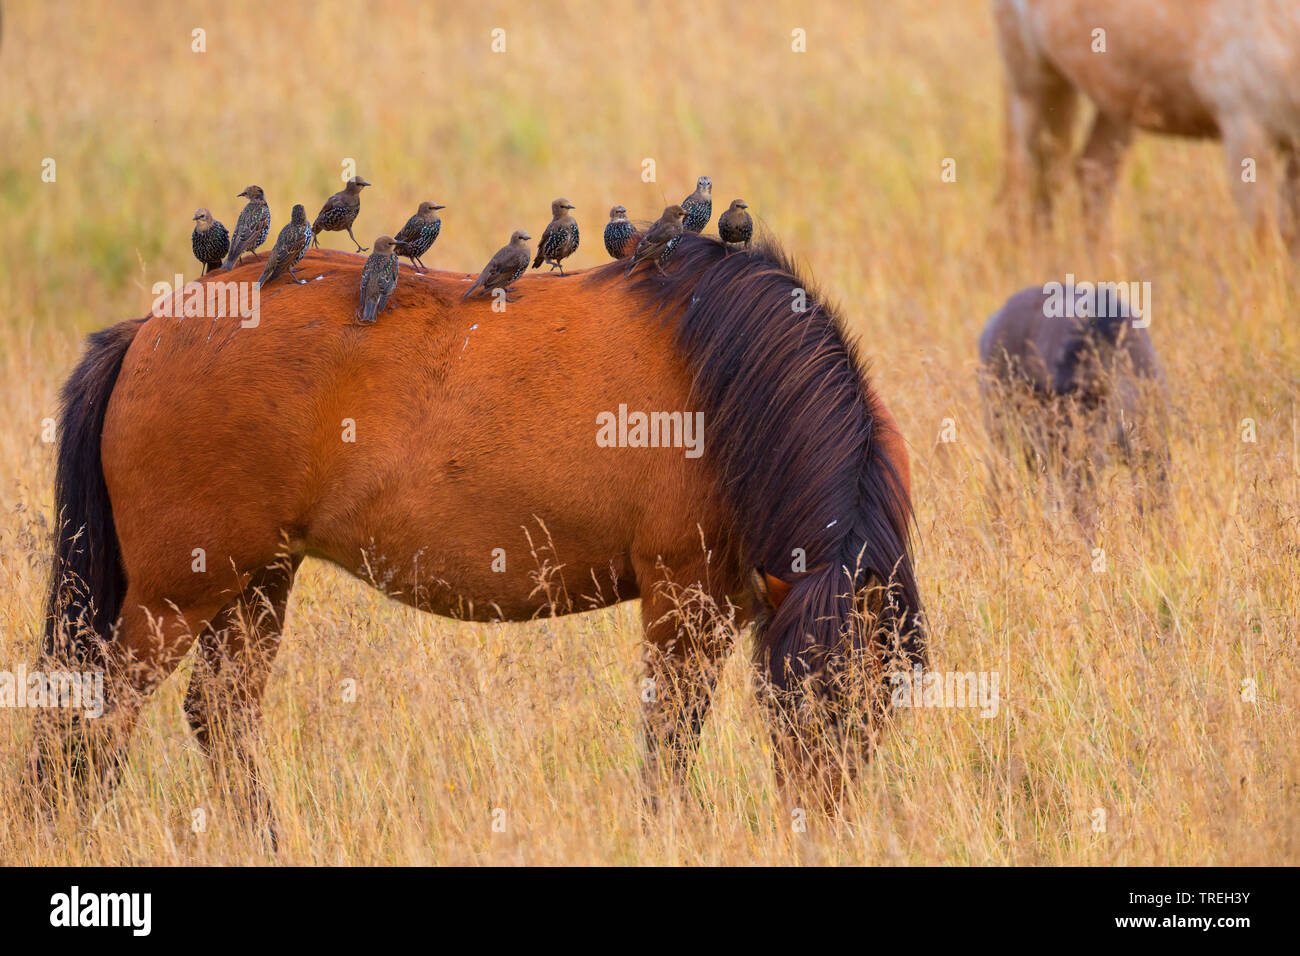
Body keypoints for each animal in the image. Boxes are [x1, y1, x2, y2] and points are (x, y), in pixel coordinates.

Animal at [31, 234, 924, 831]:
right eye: (788, 705)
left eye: (876, 704)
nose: (820, 826)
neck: (719, 379)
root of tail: (147, 332)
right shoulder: (682, 595)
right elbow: (669, 738)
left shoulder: (734, 603)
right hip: (177, 594)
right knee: (101, 719)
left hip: (257, 581)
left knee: (220, 716)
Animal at [992, 0, 1300, 248]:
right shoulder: (1245, 128)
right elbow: (1263, 239)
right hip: (1032, 80)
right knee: (1028, 184)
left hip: (1117, 99)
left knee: (1093, 173)